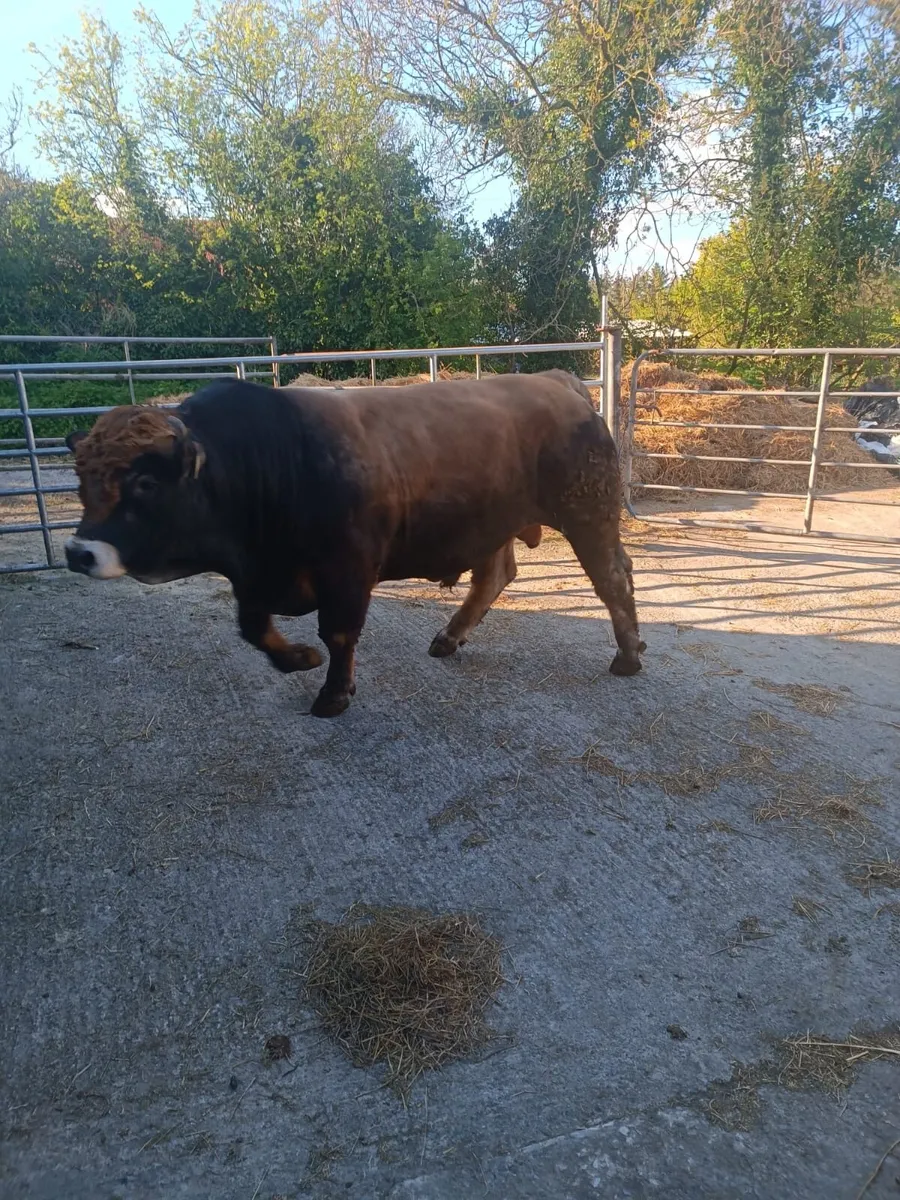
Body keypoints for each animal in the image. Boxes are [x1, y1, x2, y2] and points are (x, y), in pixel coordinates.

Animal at [64, 370, 644, 717]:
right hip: (491, 525)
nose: (77, 552)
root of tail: (556, 382)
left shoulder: (346, 570)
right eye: (81, 478)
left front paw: (333, 693)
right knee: (495, 575)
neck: (268, 459)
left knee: (613, 577)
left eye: (145, 483)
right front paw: (298, 659)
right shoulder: (254, 577)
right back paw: (449, 637)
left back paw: (628, 655)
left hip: (587, 514)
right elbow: (254, 630)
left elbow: (339, 633)